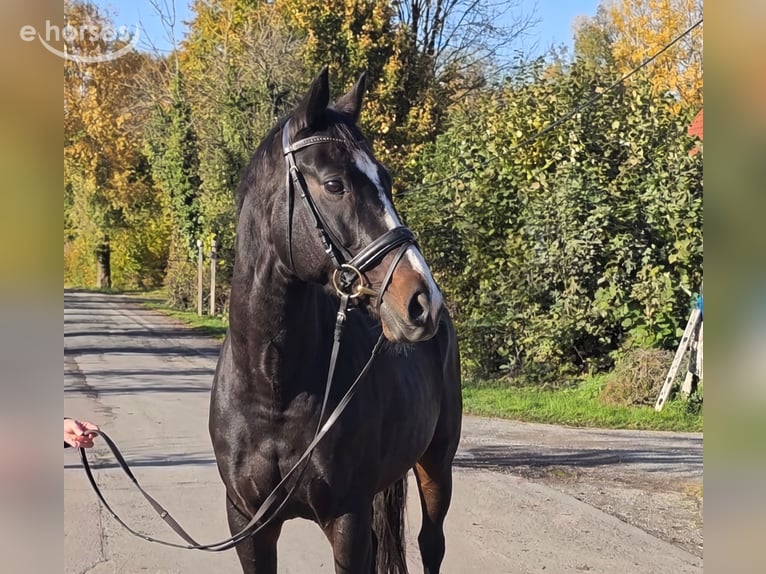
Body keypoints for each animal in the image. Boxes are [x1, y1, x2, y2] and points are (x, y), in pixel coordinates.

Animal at [209, 67, 462, 574]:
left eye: (386, 179)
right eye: (333, 185)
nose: (423, 302)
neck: (274, 387)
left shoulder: (347, 519)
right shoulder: (246, 521)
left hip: (436, 463)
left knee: (431, 543)